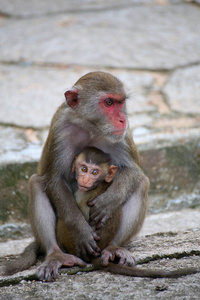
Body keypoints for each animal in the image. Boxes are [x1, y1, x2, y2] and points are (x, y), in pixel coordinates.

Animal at [3, 72, 149, 282]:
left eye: (121, 103)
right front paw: (80, 231)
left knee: (141, 183)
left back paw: (113, 248)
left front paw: (107, 202)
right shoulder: (61, 127)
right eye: (108, 102)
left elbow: (134, 171)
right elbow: (55, 178)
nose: (123, 119)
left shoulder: (123, 135)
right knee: (37, 183)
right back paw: (56, 255)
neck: (91, 126)